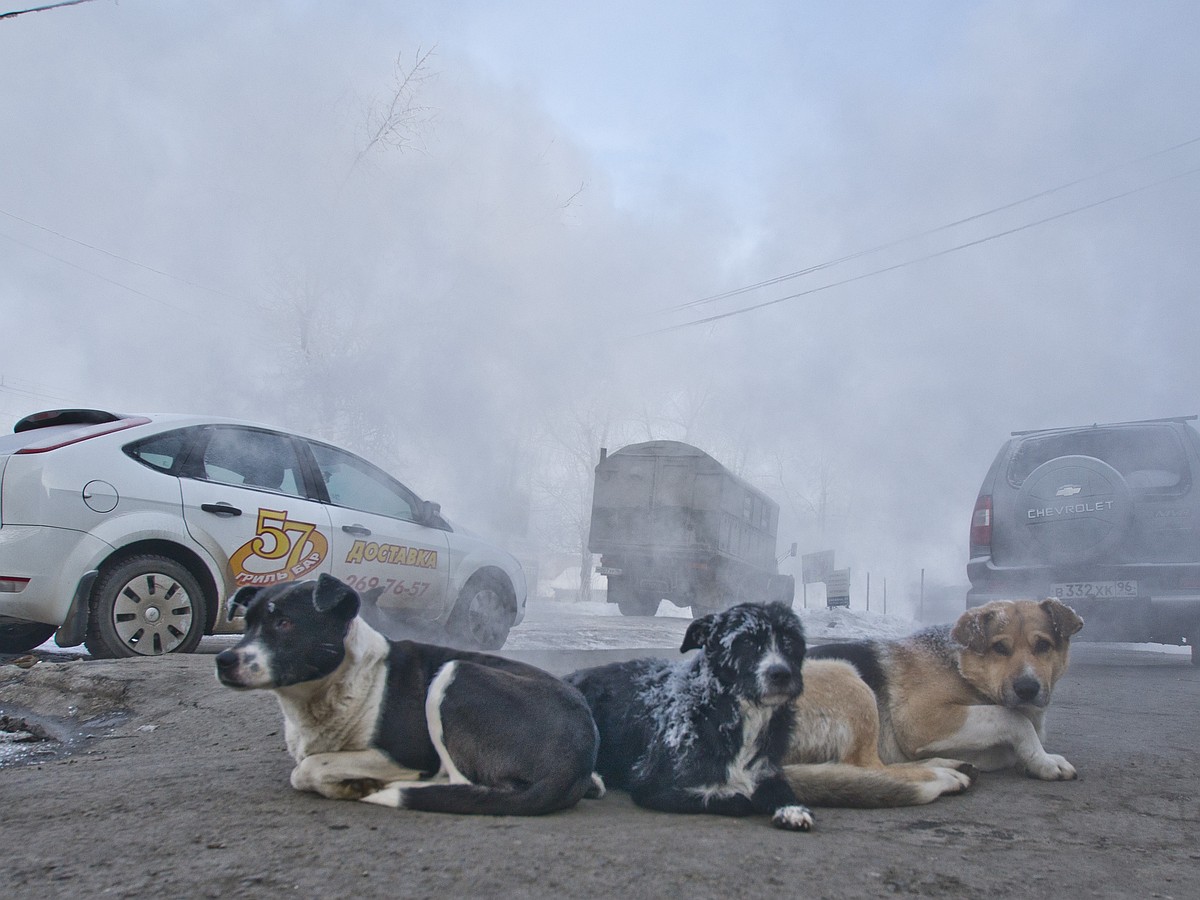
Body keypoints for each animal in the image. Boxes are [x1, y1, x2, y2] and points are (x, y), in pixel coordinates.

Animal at [216, 578, 600, 816]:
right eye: (246, 624)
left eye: (284, 623)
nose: (223, 660)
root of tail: (575, 759)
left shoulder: (408, 755)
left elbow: (307, 768)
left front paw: (352, 784)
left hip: (456, 674)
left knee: (462, 783)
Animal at [564, 602, 816, 835]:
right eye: (746, 641)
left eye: (790, 640)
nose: (781, 674)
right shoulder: (653, 786)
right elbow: (737, 800)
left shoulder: (767, 769)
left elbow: (780, 788)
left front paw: (793, 809)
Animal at [806, 600, 1089, 782]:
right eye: (999, 648)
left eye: (1043, 645)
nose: (1027, 688)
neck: (960, 667)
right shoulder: (920, 720)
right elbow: (1012, 718)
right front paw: (1043, 760)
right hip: (848, 679)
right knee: (868, 767)